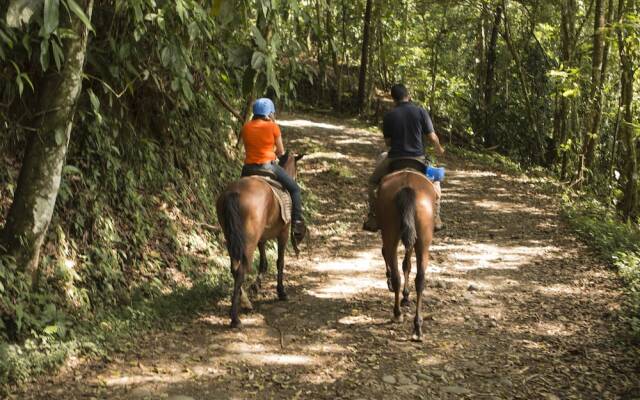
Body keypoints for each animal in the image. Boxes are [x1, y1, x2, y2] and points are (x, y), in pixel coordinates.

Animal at [216, 153, 304, 328]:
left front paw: (256, 286)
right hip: (248, 241)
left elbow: (263, 262)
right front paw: (281, 291)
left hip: (232, 238)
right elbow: (280, 262)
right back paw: (236, 318)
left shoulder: (261, 239)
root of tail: (234, 193)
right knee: (241, 269)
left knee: (234, 268)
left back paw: (243, 303)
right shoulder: (283, 233)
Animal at [376, 169, 440, 340]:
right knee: (419, 279)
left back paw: (400, 314)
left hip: (392, 235)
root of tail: (407, 188)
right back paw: (415, 326)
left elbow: (403, 263)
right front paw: (405, 296)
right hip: (422, 241)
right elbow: (407, 264)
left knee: (396, 269)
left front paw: (403, 294)